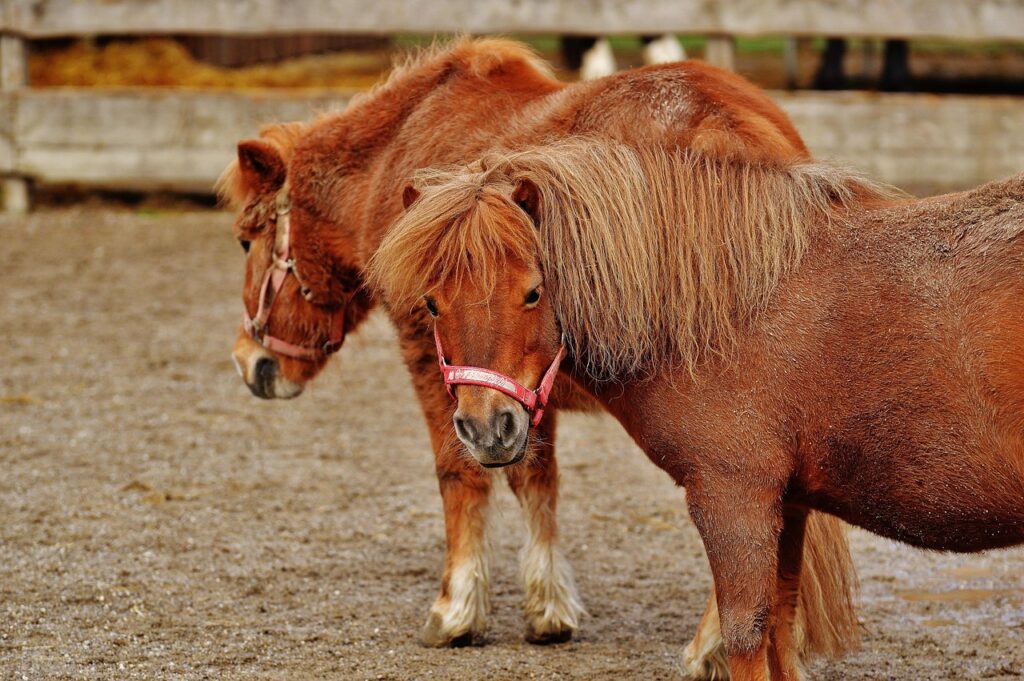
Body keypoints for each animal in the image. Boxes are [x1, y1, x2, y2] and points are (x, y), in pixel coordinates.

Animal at [218, 38, 859, 674]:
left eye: (247, 242)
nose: (251, 363)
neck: (397, 147)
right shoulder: (518, 384)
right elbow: (536, 478)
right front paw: (548, 607)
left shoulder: (435, 360)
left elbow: (460, 474)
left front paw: (457, 609)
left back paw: (712, 646)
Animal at [368, 137, 1024, 679]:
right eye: (431, 303)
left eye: (532, 292)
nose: (487, 428)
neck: (732, 306)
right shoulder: (786, 504)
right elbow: (779, 632)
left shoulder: (734, 500)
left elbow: (746, 636)